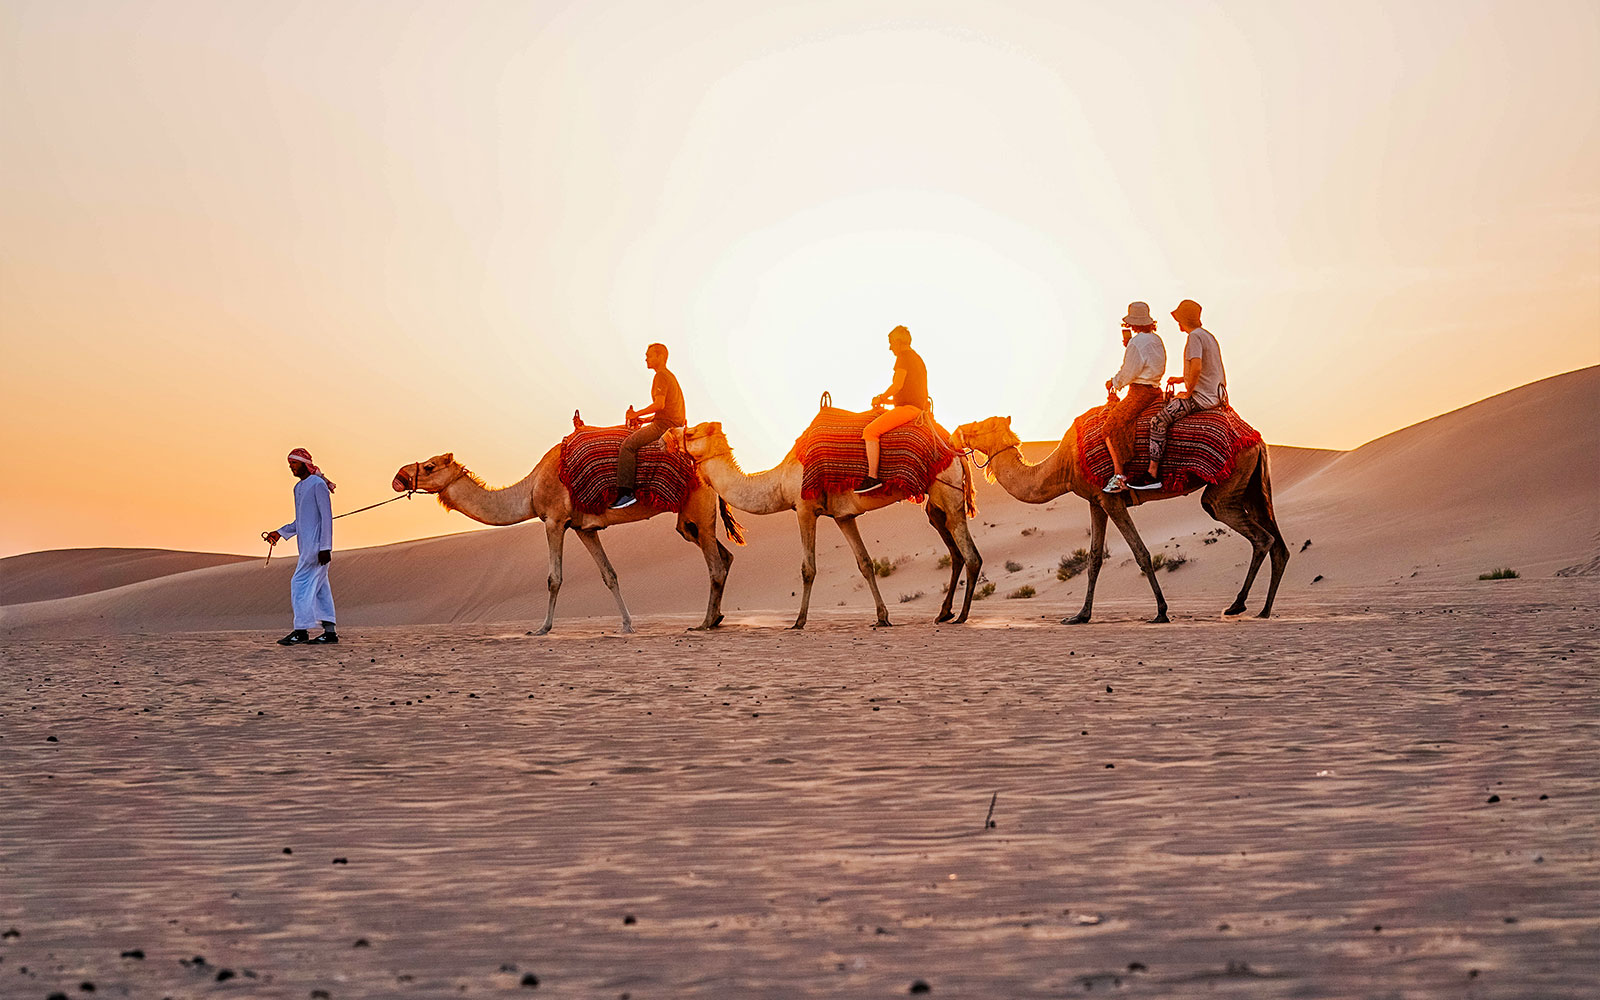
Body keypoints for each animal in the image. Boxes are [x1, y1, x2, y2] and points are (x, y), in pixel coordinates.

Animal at [387, 451, 742, 636]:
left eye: (429, 466)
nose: (398, 477)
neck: (529, 492)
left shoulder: (554, 520)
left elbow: (553, 578)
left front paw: (542, 628)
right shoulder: (585, 528)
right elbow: (609, 574)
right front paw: (627, 625)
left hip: (696, 509)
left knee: (715, 564)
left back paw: (704, 623)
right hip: (691, 521)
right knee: (724, 557)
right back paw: (717, 618)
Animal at [659, 419, 979, 624]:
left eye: (692, 432)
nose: (665, 436)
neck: (779, 482)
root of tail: (955, 450)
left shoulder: (803, 508)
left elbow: (808, 568)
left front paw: (799, 621)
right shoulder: (843, 516)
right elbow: (865, 564)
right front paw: (882, 618)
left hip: (947, 491)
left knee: (970, 555)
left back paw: (961, 616)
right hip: (935, 505)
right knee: (954, 551)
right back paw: (944, 613)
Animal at [947, 412, 1286, 617]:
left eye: (979, 426)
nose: (957, 432)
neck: (1064, 465)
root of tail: (1256, 438)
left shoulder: (1112, 499)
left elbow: (1141, 552)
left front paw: (1161, 611)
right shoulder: (1095, 501)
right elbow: (1094, 559)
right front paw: (1081, 615)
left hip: (1228, 481)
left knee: (1258, 536)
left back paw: (1238, 604)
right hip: (1252, 482)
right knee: (1277, 544)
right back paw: (1264, 609)